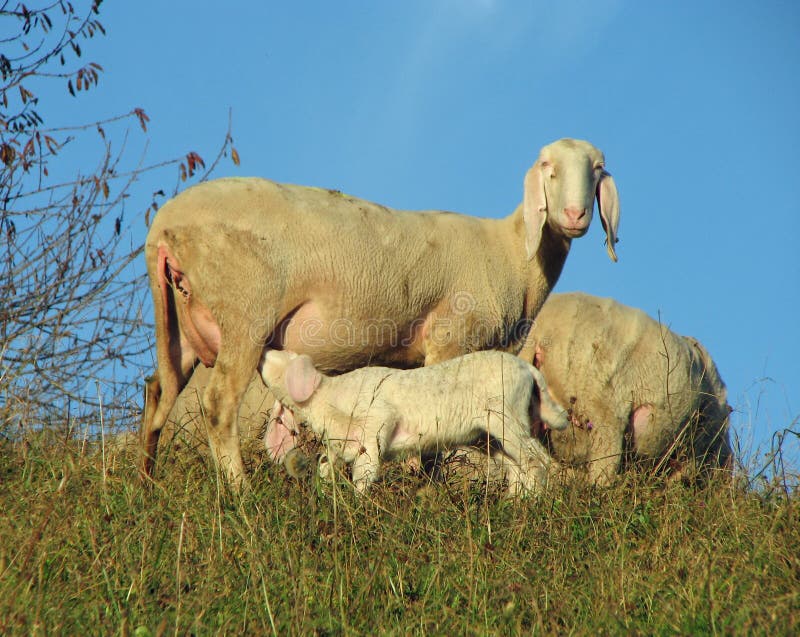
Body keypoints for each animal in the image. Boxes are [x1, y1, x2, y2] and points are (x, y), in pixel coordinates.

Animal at [259, 349, 570, 494]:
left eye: (285, 355)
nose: (263, 351)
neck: (328, 395)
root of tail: (528, 368)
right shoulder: (339, 443)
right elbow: (326, 468)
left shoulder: (377, 421)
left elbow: (365, 470)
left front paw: (358, 502)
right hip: (496, 432)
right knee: (518, 467)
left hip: (506, 415)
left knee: (537, 461)